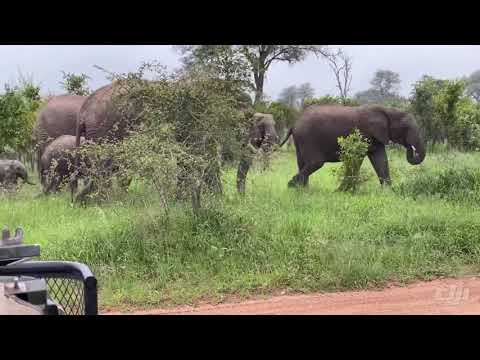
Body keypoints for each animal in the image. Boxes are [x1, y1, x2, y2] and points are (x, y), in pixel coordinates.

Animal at [280, 104, 426, 187]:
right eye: (406, 128)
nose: (410, 147)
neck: (387, 111)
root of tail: (294, 123)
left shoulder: (375, 137)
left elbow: (380, 160)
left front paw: (388, 190)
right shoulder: (364, 134)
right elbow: (358, 159)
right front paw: (343, 190)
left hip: (301, 140)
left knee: (302, 163)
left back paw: (303, 191)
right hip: (308, 138)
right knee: (316, 162)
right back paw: (291, 186)